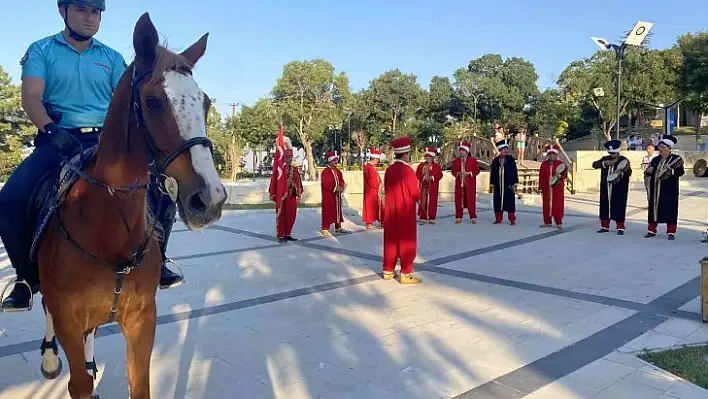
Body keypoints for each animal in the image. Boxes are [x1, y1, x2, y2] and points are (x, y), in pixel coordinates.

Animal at [35, 13, 227, 399]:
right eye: (152, 101)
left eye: (205, 103)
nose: (210, 198)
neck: (106, 229)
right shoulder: (66, 320)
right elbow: (78, 383)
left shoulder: (142, 321)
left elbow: (139, 385)